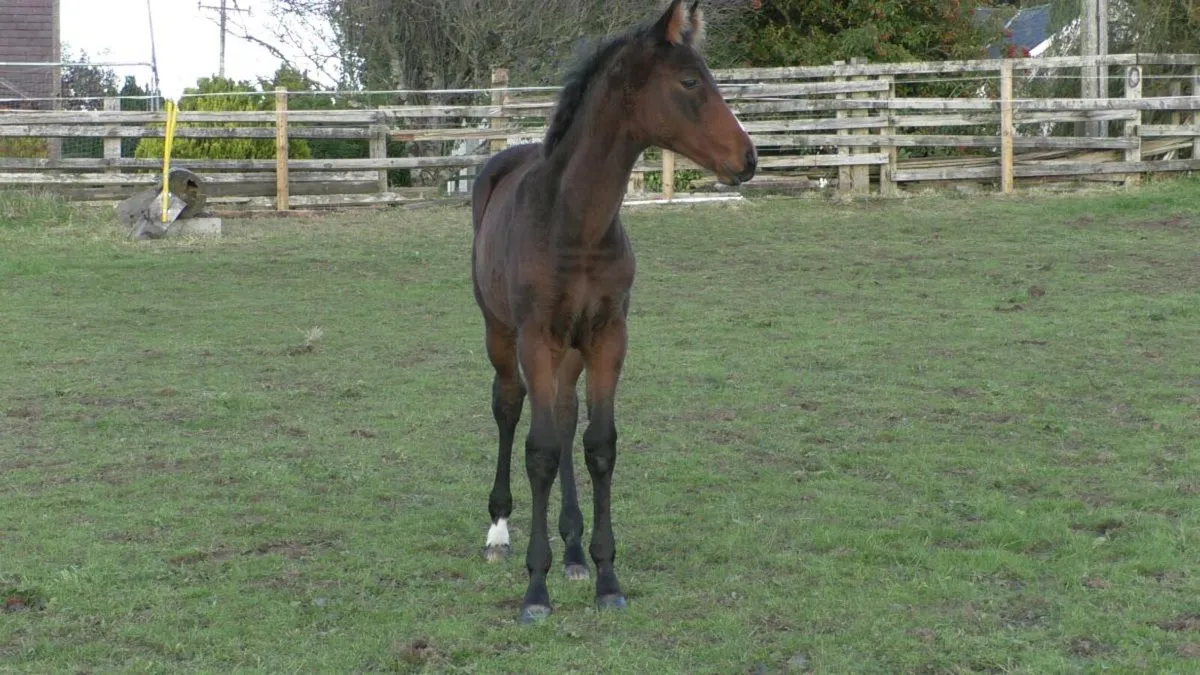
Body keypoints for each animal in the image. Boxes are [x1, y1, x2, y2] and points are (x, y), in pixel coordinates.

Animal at [469, 0, 756, 624]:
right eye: (690, 81)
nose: (748, 158)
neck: (574, 222)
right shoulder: (536, 338)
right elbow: (539, 451)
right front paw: (535, 589)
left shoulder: (608, 337)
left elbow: (598, 445)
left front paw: (604, 575)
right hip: (500, 332)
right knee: (509, 406)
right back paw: (499, 530)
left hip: (572, 349)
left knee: (564, 414)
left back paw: (573, 548)